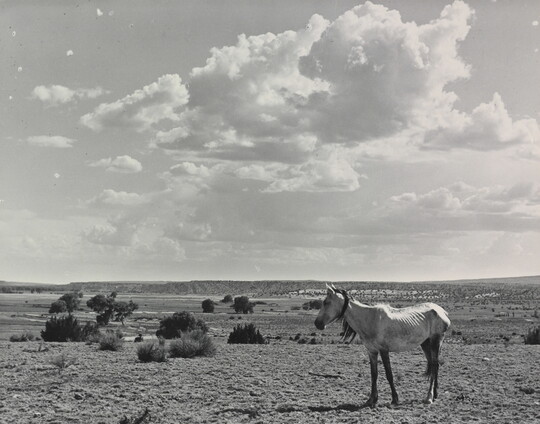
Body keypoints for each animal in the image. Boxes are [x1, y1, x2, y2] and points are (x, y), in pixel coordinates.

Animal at [315, 284, 450, 407]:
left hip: (436, 341)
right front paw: (371, 400)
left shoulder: (384, 351)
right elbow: (374, 375)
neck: (369, 319)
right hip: (426, 344)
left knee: (434, 366)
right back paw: (435, 394)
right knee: (435, 365)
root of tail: (442, 311)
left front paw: (394, 399)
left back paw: (429, 397)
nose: (317, 323)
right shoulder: (372, 352)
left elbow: (389, 374)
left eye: (326, 302)